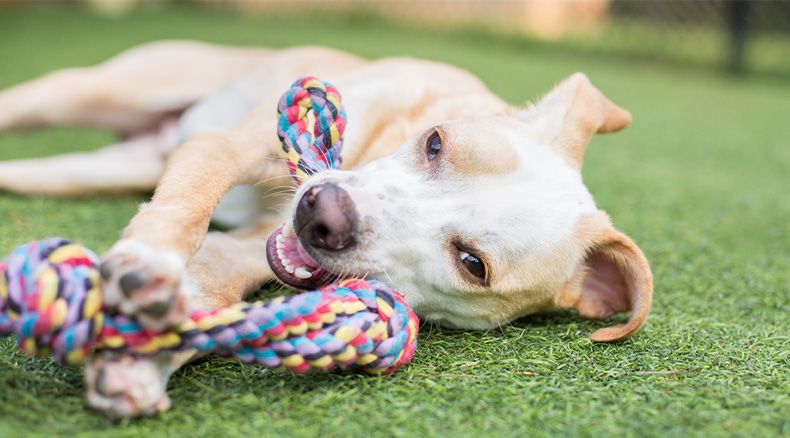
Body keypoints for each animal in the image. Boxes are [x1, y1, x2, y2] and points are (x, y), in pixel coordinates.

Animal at [0, 40, 656, 418]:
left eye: (473, 264)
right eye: (435, 142)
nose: (322, 214)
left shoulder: (254, 248)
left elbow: (210, 285)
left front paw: (137, 359)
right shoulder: (226, 147)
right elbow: (186, 207)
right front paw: (146, 263)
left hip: (88, 172)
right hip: (89, 92)